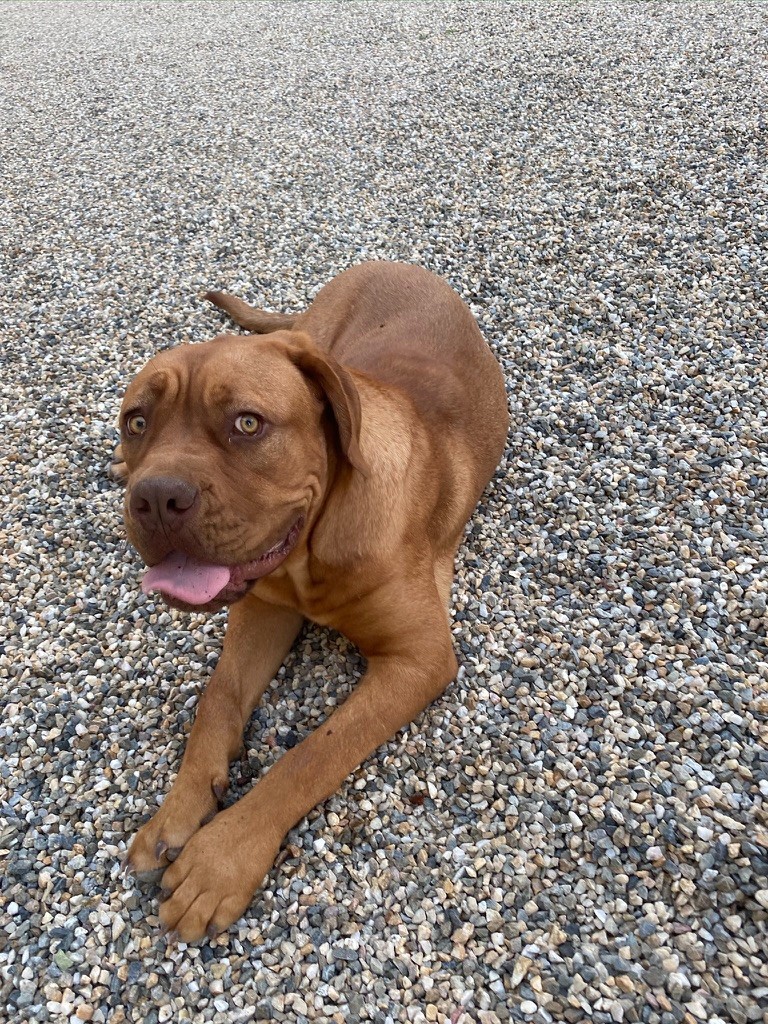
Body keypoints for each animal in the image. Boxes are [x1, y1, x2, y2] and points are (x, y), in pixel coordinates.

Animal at [115, 260, 512, 937]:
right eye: (137, 421)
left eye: (247, 423)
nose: (156, 497)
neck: (311, 553)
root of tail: (393, 262)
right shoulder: (262, 608)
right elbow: (217, 700)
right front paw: (178, 810)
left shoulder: (419, 658)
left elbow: (310, 757)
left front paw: (220, 857)